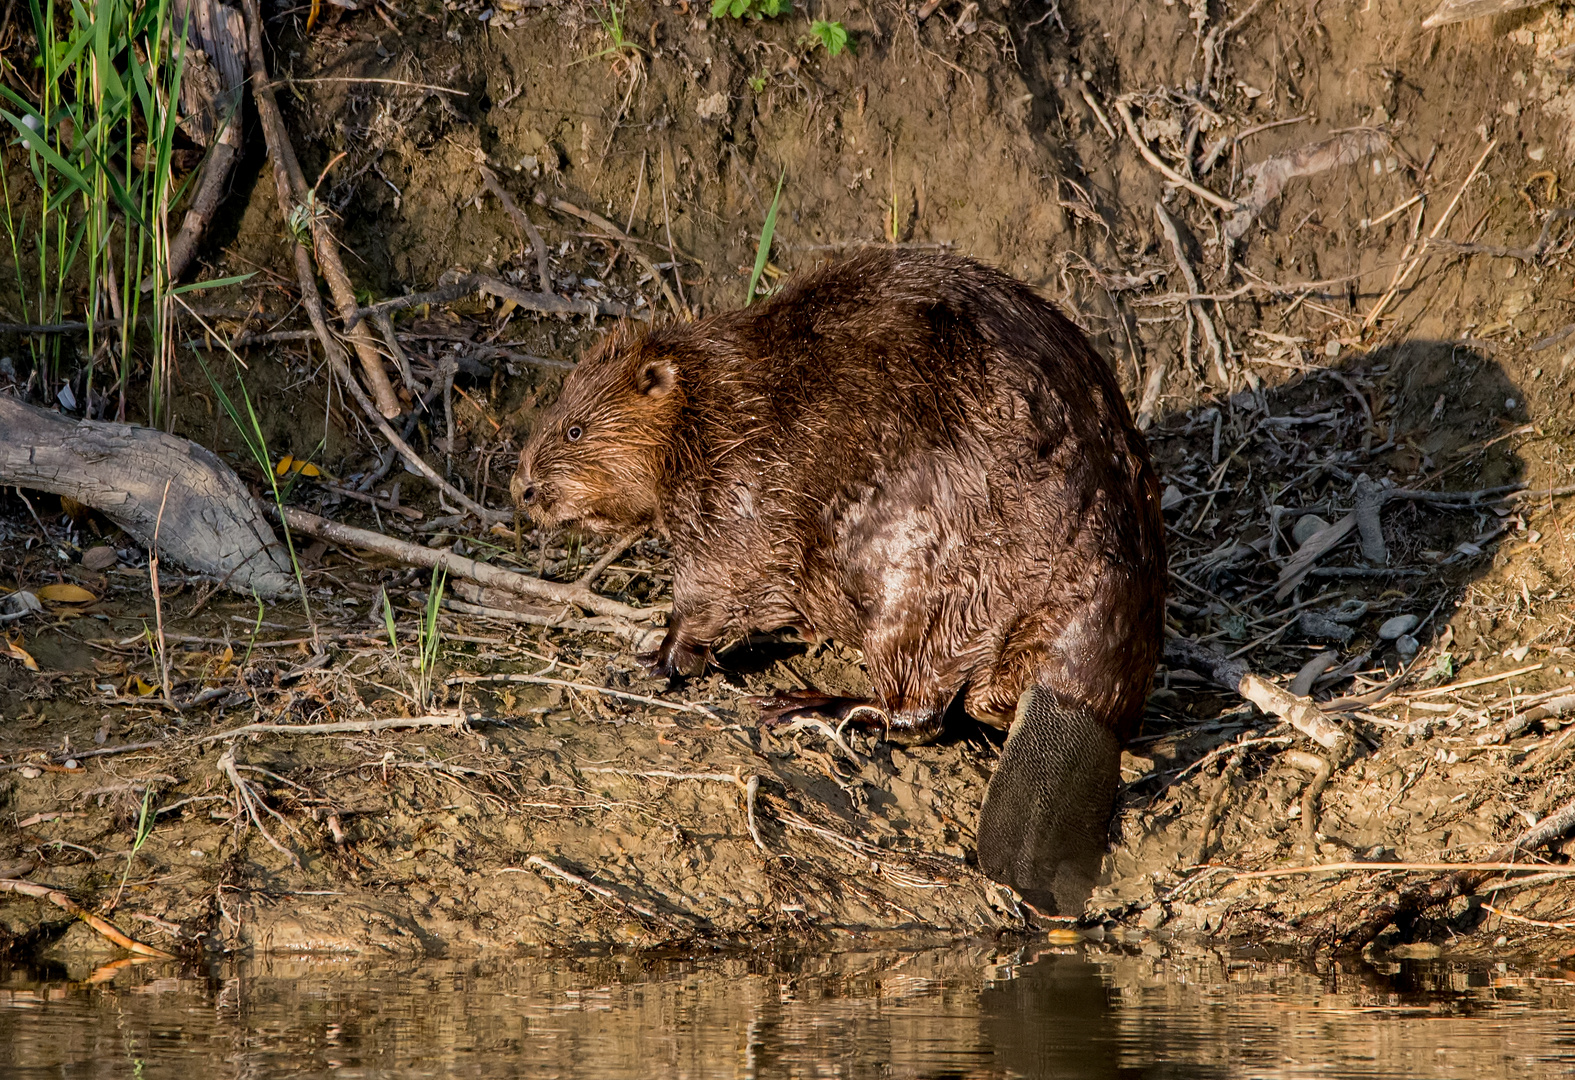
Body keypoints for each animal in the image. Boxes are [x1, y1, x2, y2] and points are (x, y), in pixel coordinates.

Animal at [516, 251, 1171, 913]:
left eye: (573, 431)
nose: (523, 490)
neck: (707, 405)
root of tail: (1080, 707)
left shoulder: (734, 491)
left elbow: (716, 581)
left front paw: (656, 656)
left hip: (919, 589)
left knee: (918, 710)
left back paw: (810, 704)